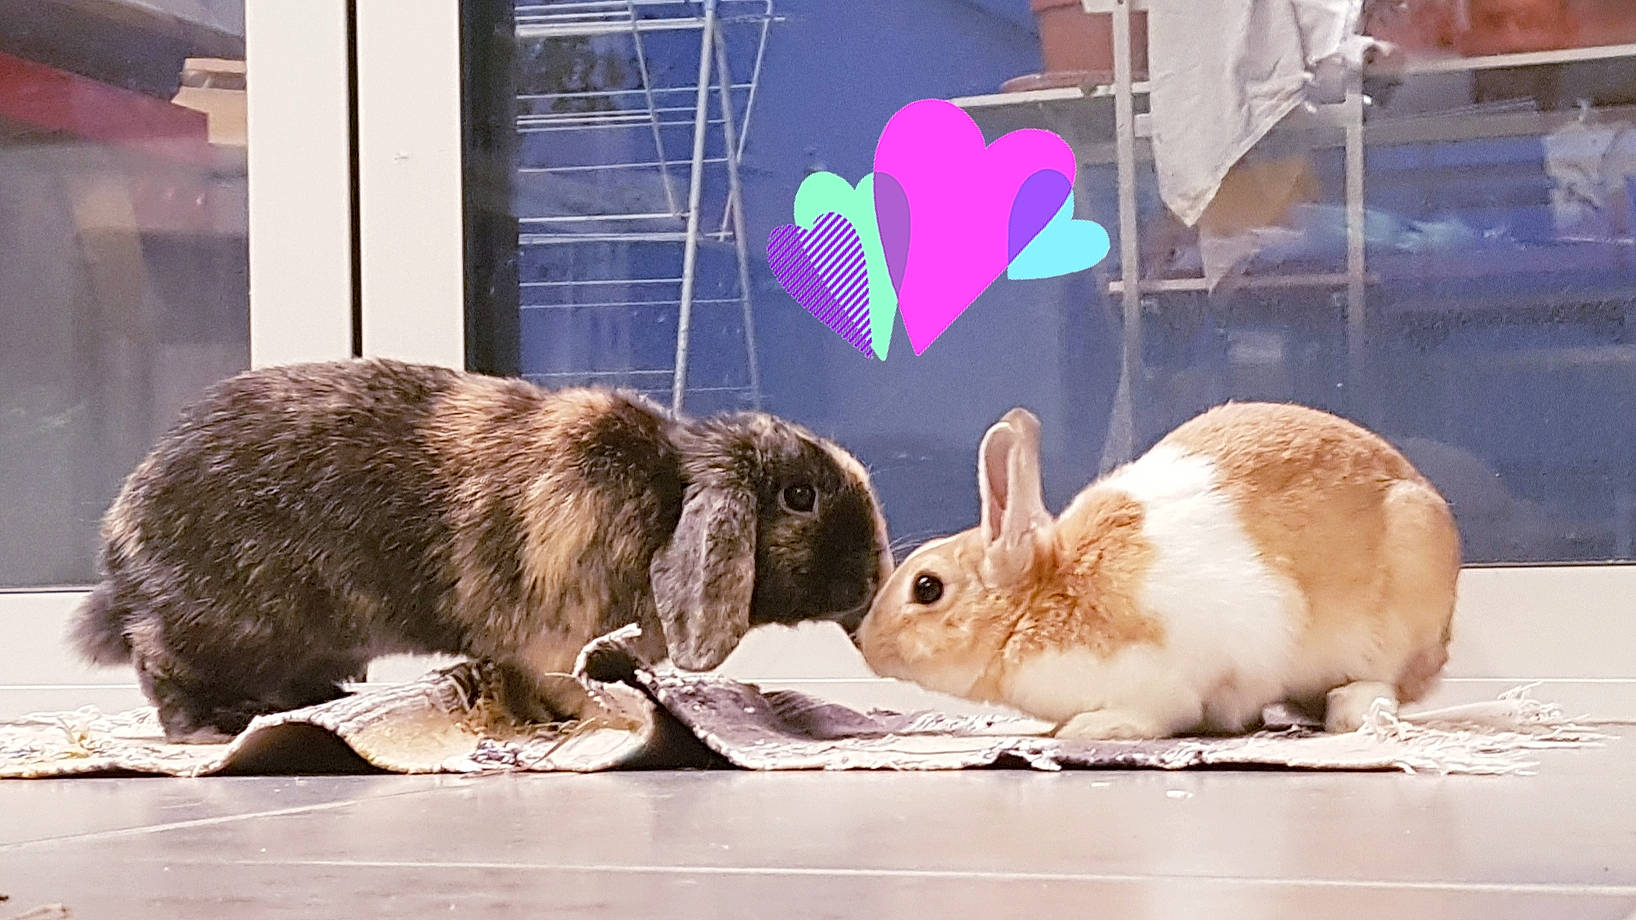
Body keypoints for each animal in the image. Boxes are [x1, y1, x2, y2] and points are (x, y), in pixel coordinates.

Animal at [72, 358, 893, 742]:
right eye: (798, 496)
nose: (874, 578)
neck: (664, 499)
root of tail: (119, 553)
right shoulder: (549, 637)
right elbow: (552, 682)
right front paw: (589, 722)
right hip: (209, 629)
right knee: (163, 675)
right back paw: (206, 731)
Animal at [853, 402, 1460, 740]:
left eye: (927, 588)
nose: (865, 643)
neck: (1043, 599)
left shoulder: (1163, 683)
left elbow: (1158, 714)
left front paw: (1087, 729)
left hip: (1396, 613)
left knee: (1384, 684)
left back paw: (1348, 715)